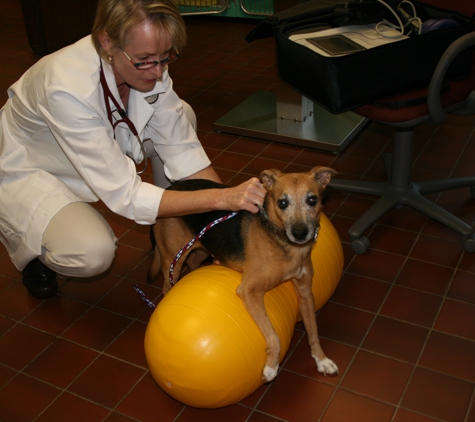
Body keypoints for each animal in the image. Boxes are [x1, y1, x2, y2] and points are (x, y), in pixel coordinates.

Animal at [149, 167, 338, 382]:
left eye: (312, 200)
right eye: (282, 203)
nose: (300, 233)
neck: (284, 243)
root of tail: (169, 189)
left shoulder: (306, 293)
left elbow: (313, 331)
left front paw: (321, 359)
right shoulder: (249, 291)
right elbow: (274, 336)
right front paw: (271, 367)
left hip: (201, 249)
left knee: (193, 264)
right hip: (174, 258)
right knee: (167, 285)